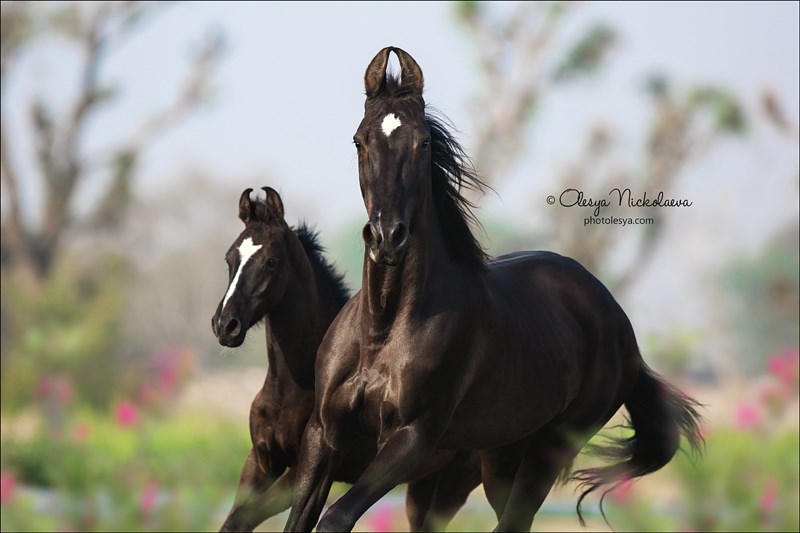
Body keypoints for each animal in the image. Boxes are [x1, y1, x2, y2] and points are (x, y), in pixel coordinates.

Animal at [284, 47, 704, 528]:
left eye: (423, 143)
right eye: (360, 140)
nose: (389, 237)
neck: (383, 331)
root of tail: (619, 323)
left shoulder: (412, 439)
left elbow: (336, 517)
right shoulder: (324, 432)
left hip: (549, 448)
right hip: (501, 454)